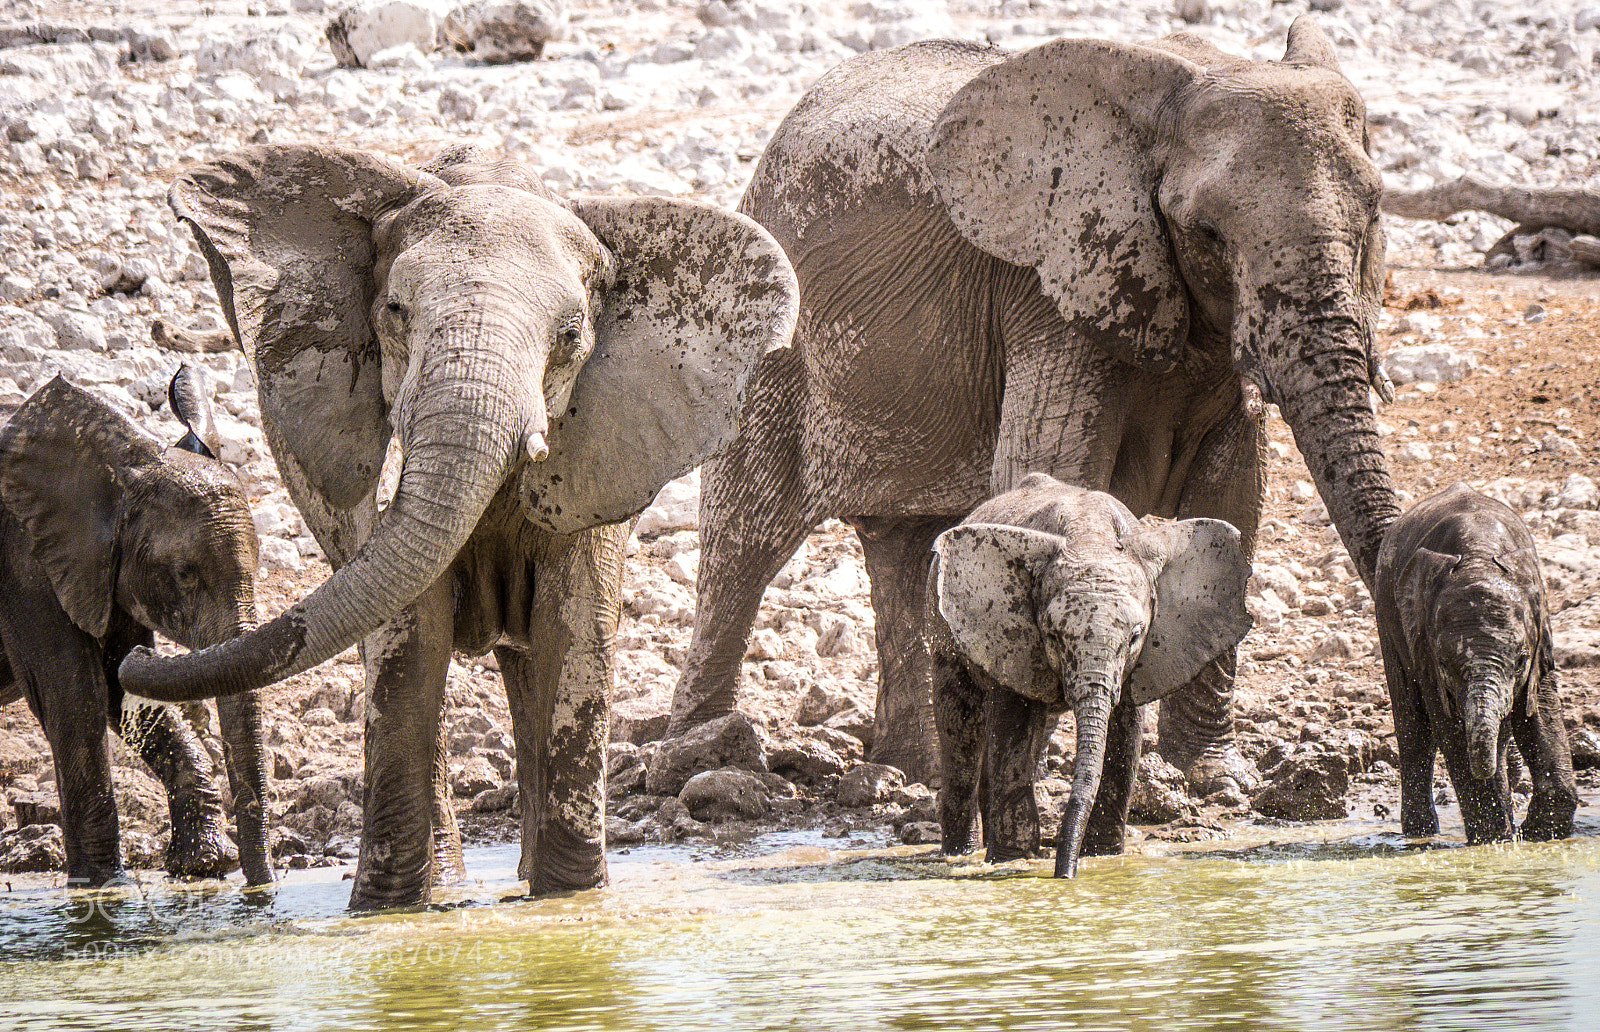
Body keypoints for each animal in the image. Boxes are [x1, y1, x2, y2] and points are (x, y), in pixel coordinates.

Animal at [0, 370, 272, 887]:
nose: (263, 889)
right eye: (184, 573)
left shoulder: (102, 572)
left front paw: (204, 865)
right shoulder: (24, 571)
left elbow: (118, 688)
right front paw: (103, 885)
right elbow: (75, 694)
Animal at [117, 143, 799, 909]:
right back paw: (446, 883)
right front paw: (385, 911)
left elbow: (577, 626)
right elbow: (410, 631)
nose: (134, 659)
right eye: (394, 310)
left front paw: (571, 904)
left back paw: (524, 881)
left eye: (571, 338)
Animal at [665, 16, 1401, 791]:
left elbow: (1231, 500)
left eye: (1374, 214)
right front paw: (1041, 762)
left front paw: (1212, 776)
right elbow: (1053, 468)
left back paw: (914, 773)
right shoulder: (1046, 286)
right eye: (1206, 232)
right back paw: (702, 757)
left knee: (906, 549)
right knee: (744, 540)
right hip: (766, 342)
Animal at [931, 473, 1252, 877]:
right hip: (942, 621)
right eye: (1053, 635)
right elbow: (1013, 725)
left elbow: (1125, 734)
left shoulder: (1140, 662)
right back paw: (961, 853)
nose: (1065, 876)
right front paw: (1013, 860)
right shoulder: (1011, 634)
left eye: (1135, 637)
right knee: (960, 724)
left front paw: (1104, 858)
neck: (1090, 536)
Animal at [1373, 481, 1577, 845]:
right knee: (1413, 723)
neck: (1478, 557)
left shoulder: (1540, 639)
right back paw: (1420, 834)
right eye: (1443, 664)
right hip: (1386, 612)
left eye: (1521, 661)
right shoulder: (1424, 645)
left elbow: (1539, 713)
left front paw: (1538, 835)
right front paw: (1495, 841)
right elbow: (1450, 726)